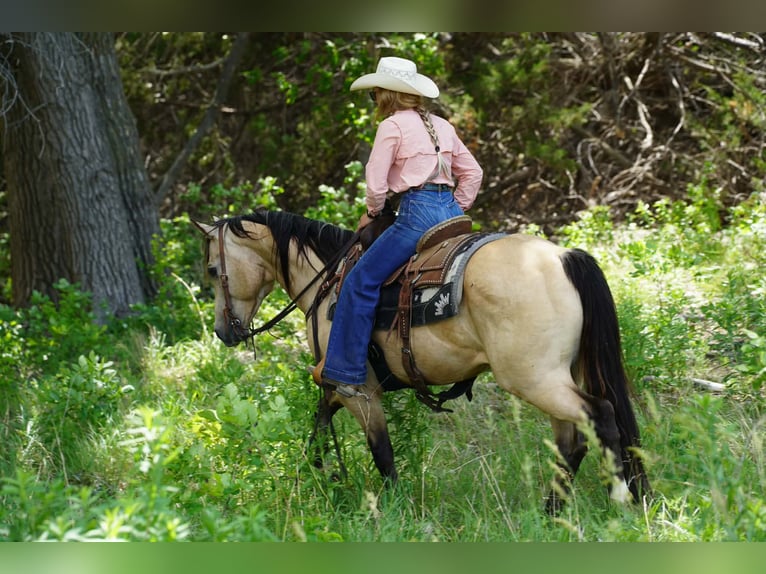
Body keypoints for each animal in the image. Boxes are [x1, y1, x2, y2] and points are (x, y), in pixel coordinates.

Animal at [193, 208, 649, 512]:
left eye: (213, 270)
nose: (223, 331)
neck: (327, 281)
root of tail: (564, 257)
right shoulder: (335, 387)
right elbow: (318, 434)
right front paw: (314, 479)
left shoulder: (359, 390)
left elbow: (381, 452)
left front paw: (397, 509)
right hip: (555, 379)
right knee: (572, 442)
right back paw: (553, 512)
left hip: (536, 380)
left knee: (601, 416)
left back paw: (619, 498)